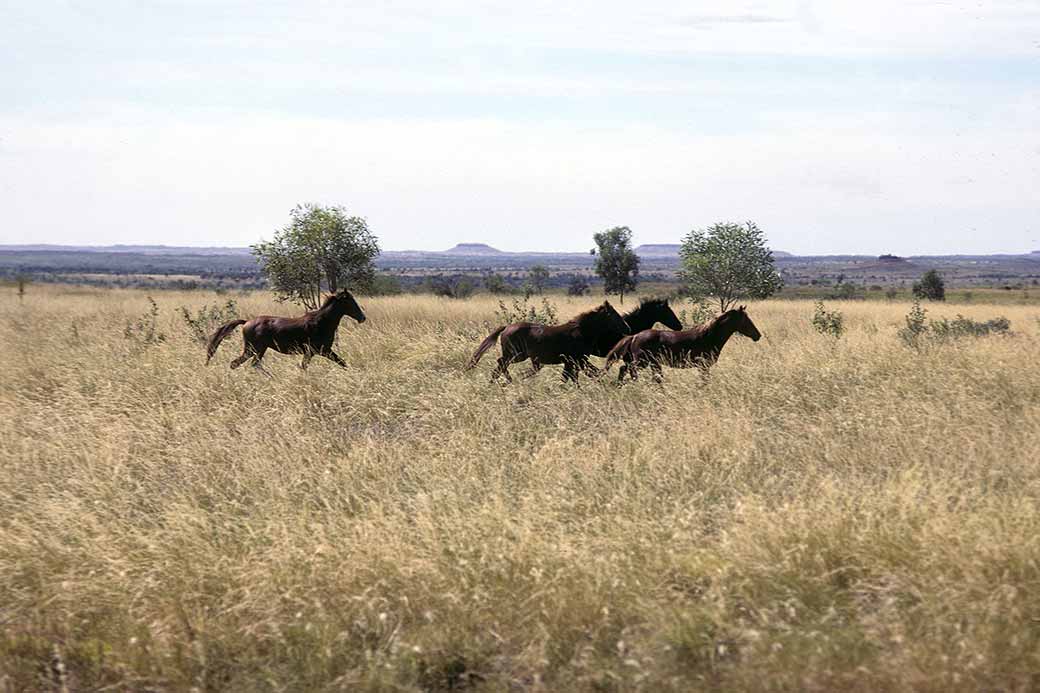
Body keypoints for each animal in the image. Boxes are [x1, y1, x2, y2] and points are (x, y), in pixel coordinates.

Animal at [204, 287, 368, 372]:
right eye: (350, 301)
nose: (362, 318)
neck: (322, 322)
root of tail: (246, 322)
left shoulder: (320, 351)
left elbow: (342, 363)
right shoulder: (318, 350)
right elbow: (338, 363)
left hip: (257, 350)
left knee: (246, 364)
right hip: (254, 349)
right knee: (241, 364)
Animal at [467, 299, 628, 380]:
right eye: (614, 314)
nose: (627, 328)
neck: (582, 332)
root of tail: (507, 327)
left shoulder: (573, 361)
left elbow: (571, 377)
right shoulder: (577, 360)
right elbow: (579, 375)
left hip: (517, 356)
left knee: (500, 366)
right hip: (516, 355)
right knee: (501, 363)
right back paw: (507, 380)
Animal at [603, 305, 765, 382]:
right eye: (746, 320)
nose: (758, 335)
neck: (709, 336)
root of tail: (634, 336)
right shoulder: (703, 366)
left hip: (651, 363)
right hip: (642, 362)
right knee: (626, 369)